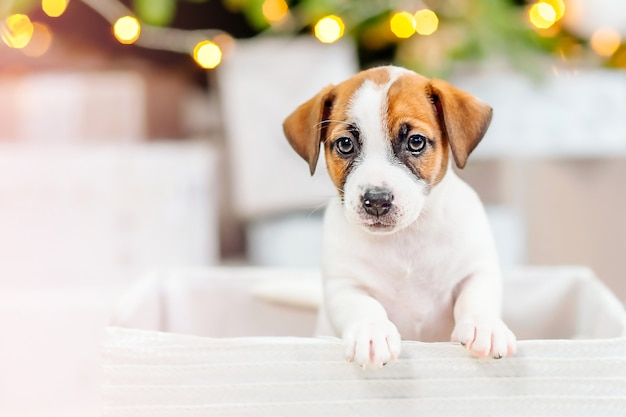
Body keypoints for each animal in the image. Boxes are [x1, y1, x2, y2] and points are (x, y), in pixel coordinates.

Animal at [280, 66, 516, 368]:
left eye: (415, 142)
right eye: (345, 144)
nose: (377, 201)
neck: (405, 238)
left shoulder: (476, 271)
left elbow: (476, 299)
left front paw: (485, 326)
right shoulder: (344, 287)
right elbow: (365, 306)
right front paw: (371, 333)